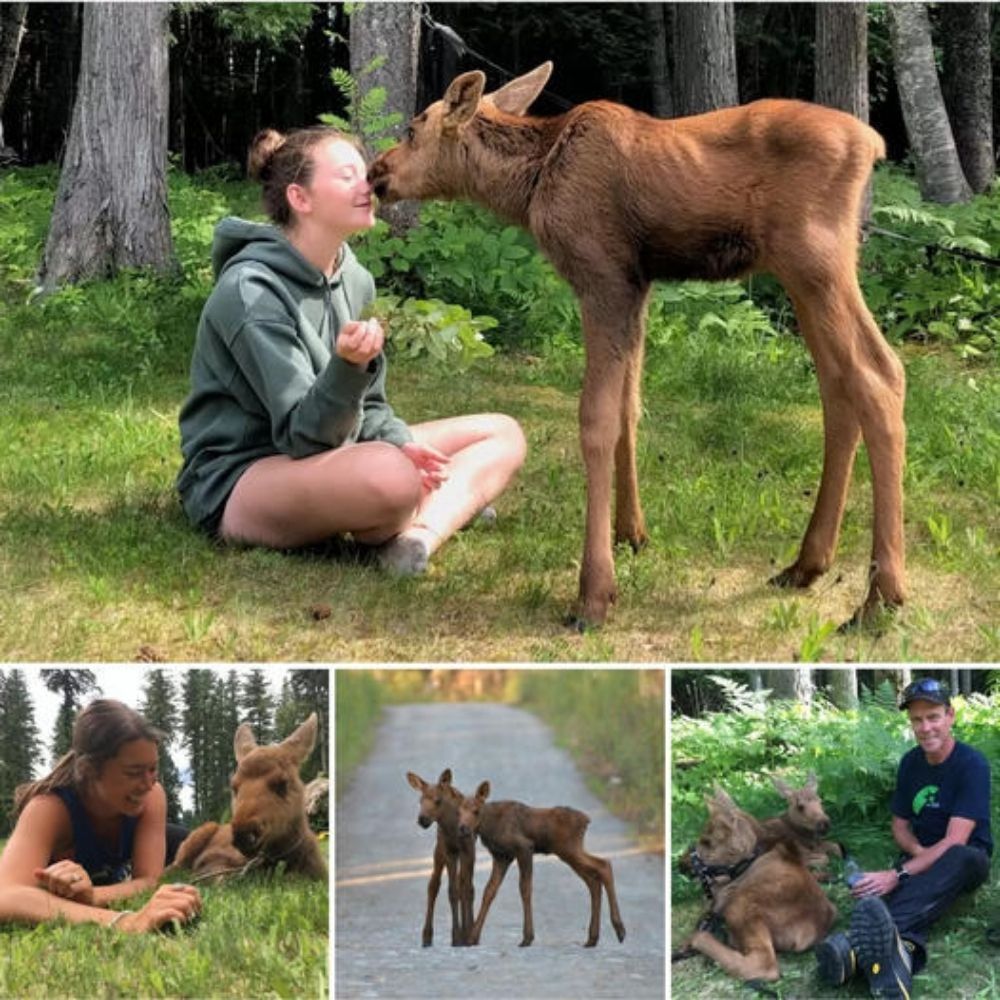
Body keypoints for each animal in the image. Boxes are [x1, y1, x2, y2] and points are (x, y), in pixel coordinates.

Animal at [370, 62, 908, 628]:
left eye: (413, 129)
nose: (375, 171)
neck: (530, 184)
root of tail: (872, 144)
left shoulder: (603, 278)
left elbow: (597, 420)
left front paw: (594, 592)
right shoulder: (638, 286)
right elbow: (630, 407)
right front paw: (631, 533)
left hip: (815, 262)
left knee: (879, 373)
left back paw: (881, 596)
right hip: (805, 274)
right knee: (837, 387)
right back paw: (808, 562)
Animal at [404, 764, 474, 944]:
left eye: (438, 800)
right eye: (420, 801)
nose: (422, 819)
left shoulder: (468, 849)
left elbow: (466, 889)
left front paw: (468, 932)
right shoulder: (448, 850)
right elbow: (452, 891)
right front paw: (456, 936)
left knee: (464, 884)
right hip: (439, 851)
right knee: (433, 884)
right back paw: (426, 935)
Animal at [456, 776, 624, 948]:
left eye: (476, 811)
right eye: (459, 811)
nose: (463, 828)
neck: (489, 827)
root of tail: (587, 820)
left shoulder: (524, 848)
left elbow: (525, 889)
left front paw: (527, 937)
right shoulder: (502, 857)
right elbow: (489, 891)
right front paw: (472, 938)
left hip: (569, 849)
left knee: (603, 865)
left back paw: (619, 929)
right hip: (570, 852)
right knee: (593, 880)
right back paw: (592, 938)